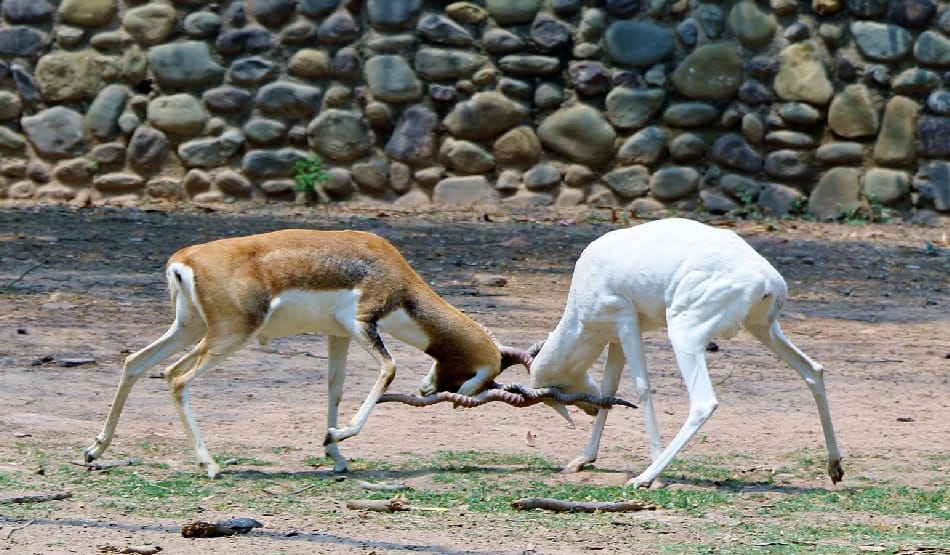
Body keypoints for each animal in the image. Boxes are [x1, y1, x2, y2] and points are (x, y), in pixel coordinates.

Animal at [83, 229, 535, 478]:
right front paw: (338, 436)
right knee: (175, 377)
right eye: (480, 375)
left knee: (135, 363)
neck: (395, 276)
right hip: (227, 337)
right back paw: (209, 464)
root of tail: (184, 260)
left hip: (190, 327)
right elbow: (388, 370)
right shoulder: (363, 323)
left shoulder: (338, 335)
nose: (431, 392)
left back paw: (95, 450)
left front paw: (335, 453)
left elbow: (334, 390)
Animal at [526, 218, 844, 488]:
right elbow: (608, 391)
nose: (588, 410)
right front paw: (581, 460)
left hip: (684, 332)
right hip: (762, 328)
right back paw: (835, 468)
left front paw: (655, 474)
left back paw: (645, 478)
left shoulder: (626, 322)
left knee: (704, 402)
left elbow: (642, 388)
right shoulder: (616, 338)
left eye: (556, 395)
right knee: (813, 370)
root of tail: (769, 280)